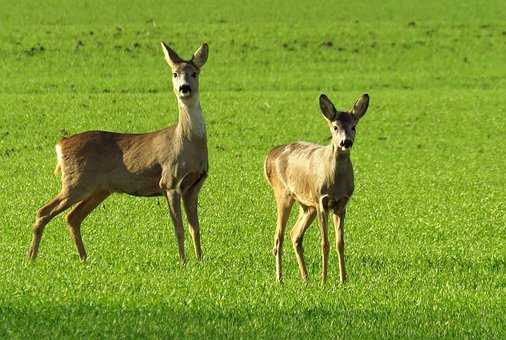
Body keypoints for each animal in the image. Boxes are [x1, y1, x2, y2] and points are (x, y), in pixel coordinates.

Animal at [27, 42, 210, 264]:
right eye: (175, 73)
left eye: (194, 73)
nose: (184, 88)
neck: (188, 142)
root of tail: (60, 144)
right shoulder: (169, 181)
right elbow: (179, 228)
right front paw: (183, 263)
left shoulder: (194, 185)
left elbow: (195, 228)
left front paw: (200, 260)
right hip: (75, 182)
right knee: (43, 211)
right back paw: (31, 259)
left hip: (99, 189)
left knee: (72, 217)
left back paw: (84, 259)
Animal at [264, 93, 368, 284]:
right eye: (335, 127)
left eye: (354, 126)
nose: (346, 142)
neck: (335, 181)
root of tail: (270, 156)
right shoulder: (321, 201)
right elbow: (324, 243)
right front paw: (324, 280)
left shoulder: (341, 204)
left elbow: (340, 243)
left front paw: (343, 280)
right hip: (283, 194)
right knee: (278, 237)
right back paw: (279, 279)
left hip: (306, 205)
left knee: (295, 234)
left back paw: (305, 278)